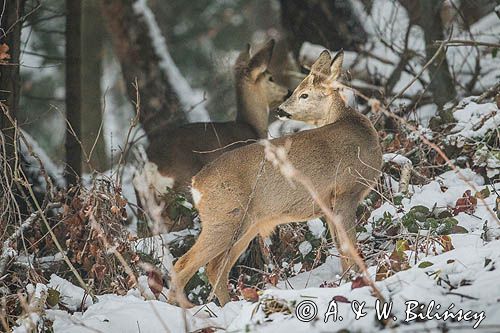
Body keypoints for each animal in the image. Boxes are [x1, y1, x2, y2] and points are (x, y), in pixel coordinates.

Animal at [133, 39, 290, 231]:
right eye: (270, 78)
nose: (289, 92)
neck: (251, 127)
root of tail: (151, 166)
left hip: (143, 205)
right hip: (184, 189)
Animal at [169, 49, 382, 306]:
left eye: (304, 94)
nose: (280, 109)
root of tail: (196, 184)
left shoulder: (329, 205)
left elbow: (341, 248)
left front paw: (347, 279)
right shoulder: (346, 192)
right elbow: (349, 243)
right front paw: (358, 278)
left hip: (246, 225)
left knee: (215, 268)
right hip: (224, 218)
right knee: (183, 265)